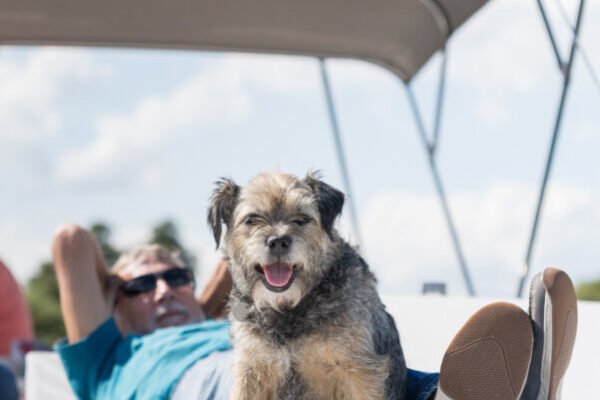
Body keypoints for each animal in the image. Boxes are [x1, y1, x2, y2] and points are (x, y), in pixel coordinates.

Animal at [207, 172, 408, 400]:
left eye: (302, 219)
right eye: (251, 219)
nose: (278, 241)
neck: (287, 310)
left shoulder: (361, 372)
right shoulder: (252, 370)